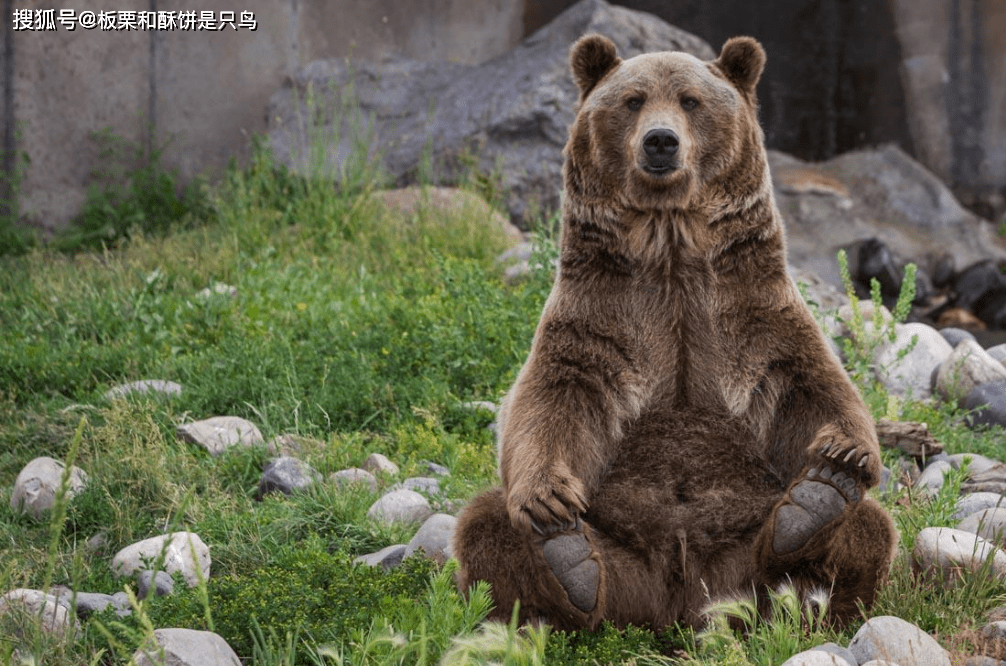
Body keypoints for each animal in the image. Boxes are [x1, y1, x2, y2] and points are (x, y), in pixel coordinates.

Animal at [452, 33, 901, 635]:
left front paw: (845, 455)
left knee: (867, 528)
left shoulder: (752, 313)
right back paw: (567, 565)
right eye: (633, 100)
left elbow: (811, 384)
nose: (660, 141)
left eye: (691, 100)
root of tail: (680, 603)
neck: (670, 245)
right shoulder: (600, 317)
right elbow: (552, 398)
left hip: (741, 550)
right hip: (622, 556)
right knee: (485, 524)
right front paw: (546, 500)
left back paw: (815, 509)